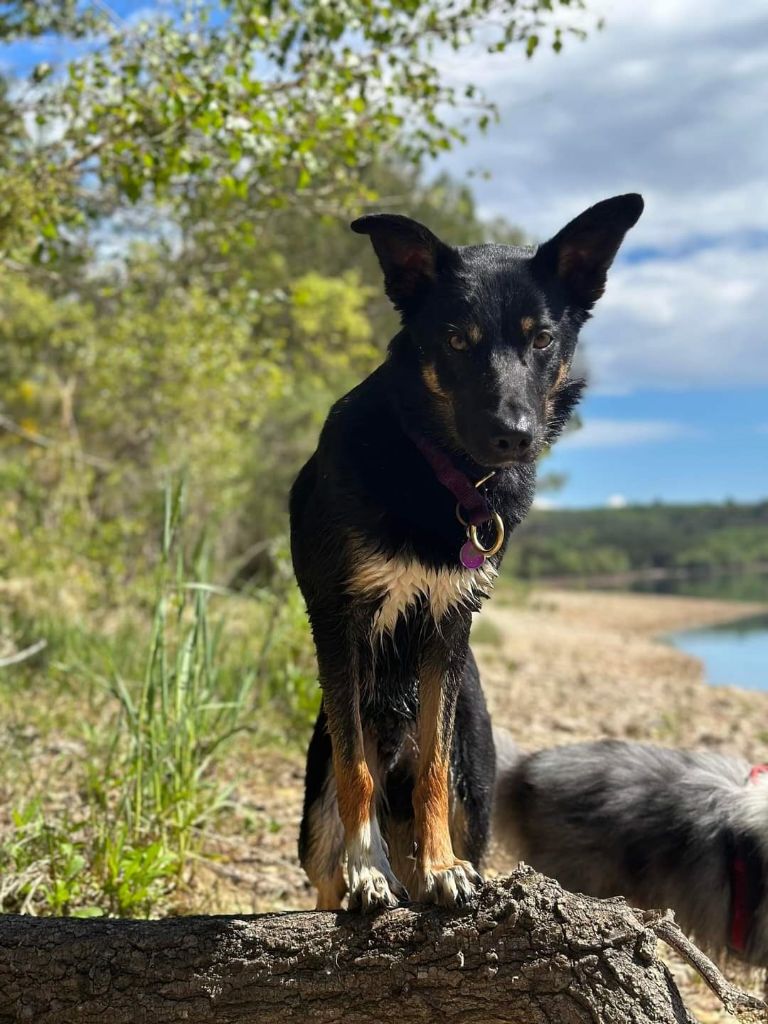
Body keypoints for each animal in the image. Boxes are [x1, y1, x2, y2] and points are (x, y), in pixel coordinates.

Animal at [288, 193, 643, 913]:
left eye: (542, 339)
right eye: (457, 339)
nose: (513, 436)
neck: (439, 472)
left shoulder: (447, 627)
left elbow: (432, 765)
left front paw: (439, 866)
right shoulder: (341, 622)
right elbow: (357, 768)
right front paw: (369, 868)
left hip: (476, 785)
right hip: (313, 814)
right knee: (331, 845)